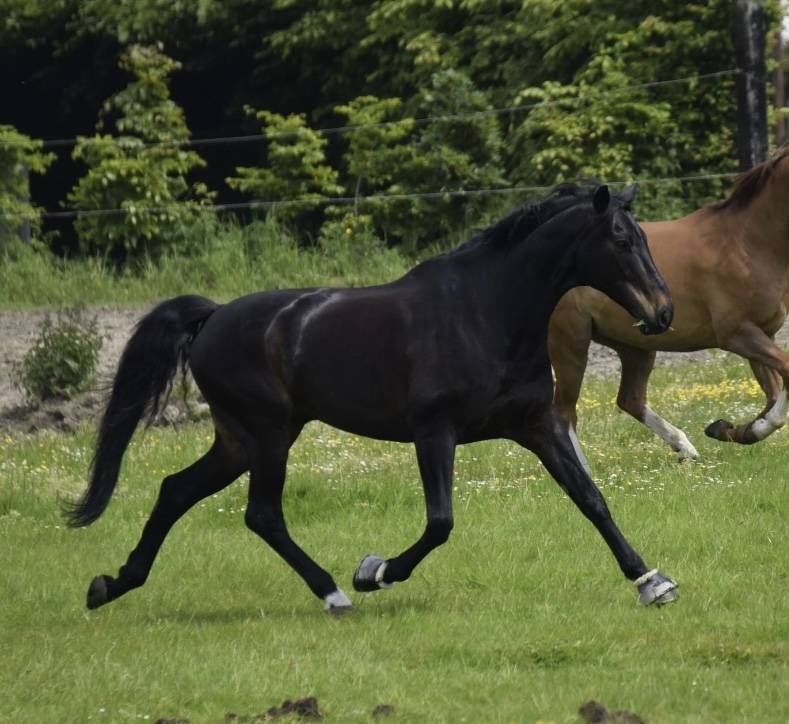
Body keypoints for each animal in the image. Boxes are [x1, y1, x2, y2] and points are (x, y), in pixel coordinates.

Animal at [65, 183, 679, 615]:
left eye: (646, 237)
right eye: (621, 239)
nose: (663, 312)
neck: (485, 311)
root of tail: (212, 317)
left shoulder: (535, 425)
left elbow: (590, 498)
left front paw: (651, 581)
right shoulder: (434, 432)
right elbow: (440, 522)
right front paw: (374, 571)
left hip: (242, 440)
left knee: (176, 491)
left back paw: (110, 585)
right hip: (267, 434)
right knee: (261, 513)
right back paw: (335, 593)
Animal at [550, 145, 789, 460]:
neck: (748, 245)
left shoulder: (763, 333)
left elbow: (774, 395)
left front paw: (729, 429)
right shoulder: (738, 334)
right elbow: (785, 377)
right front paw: (737, 428)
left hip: (635, 345)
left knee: (630, 399)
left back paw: (685, 448)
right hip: (570, 342)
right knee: (565, 412)